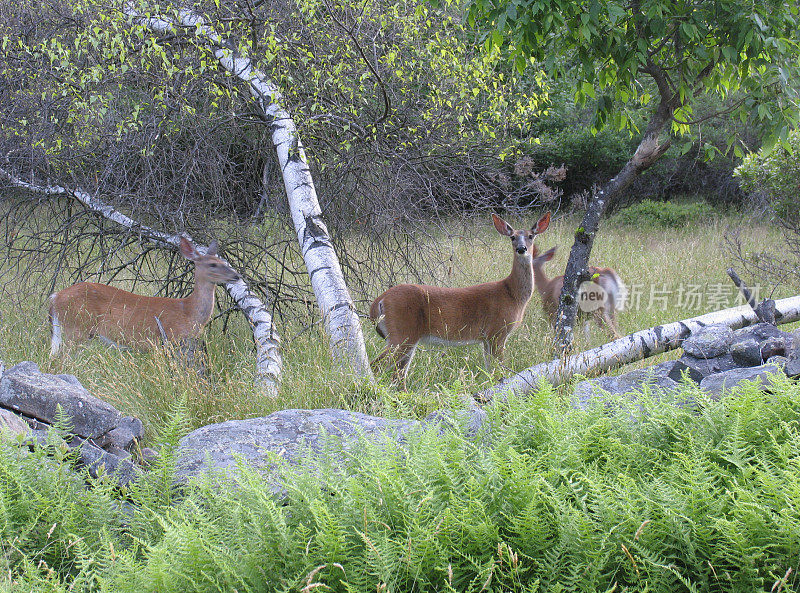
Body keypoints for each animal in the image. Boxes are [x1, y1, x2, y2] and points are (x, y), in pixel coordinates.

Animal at [47, 237, 239, 356]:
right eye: (213, 264)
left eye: (225, 261)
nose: (236, 276)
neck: (189, 310)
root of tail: (55, 297)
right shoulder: (169, 339)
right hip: (76, 328)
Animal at [368, 212, 552, 384]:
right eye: (512, 237)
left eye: (531, 236)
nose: (521, 248)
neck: (512, 294)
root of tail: (379, 301)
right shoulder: (497, 331)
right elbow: (499, 371)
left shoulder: (487, 338)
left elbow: (490, 369)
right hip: (401, 332)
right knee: (376, 366)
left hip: (407, 338)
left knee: (398, 376)